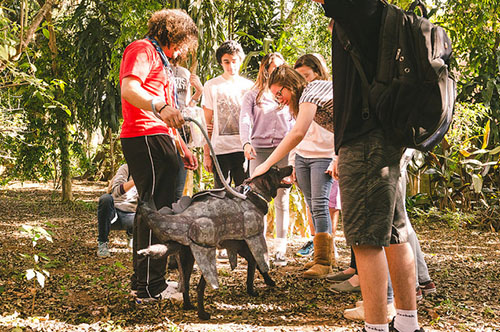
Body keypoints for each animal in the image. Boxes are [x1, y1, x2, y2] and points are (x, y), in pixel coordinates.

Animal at [137, 165, 292, 320]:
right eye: (277, 170)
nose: (290, 167)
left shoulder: (240, 248)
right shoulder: (254, 241)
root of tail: (186, 222)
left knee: (185, 284)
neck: (254, 193)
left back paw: (188, 306)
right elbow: (258, 265)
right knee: (199, 287)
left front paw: (261, 284)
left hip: (187, 260)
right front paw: (257, 288)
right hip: (206, 258)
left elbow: (255, 266)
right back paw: (202, 314)